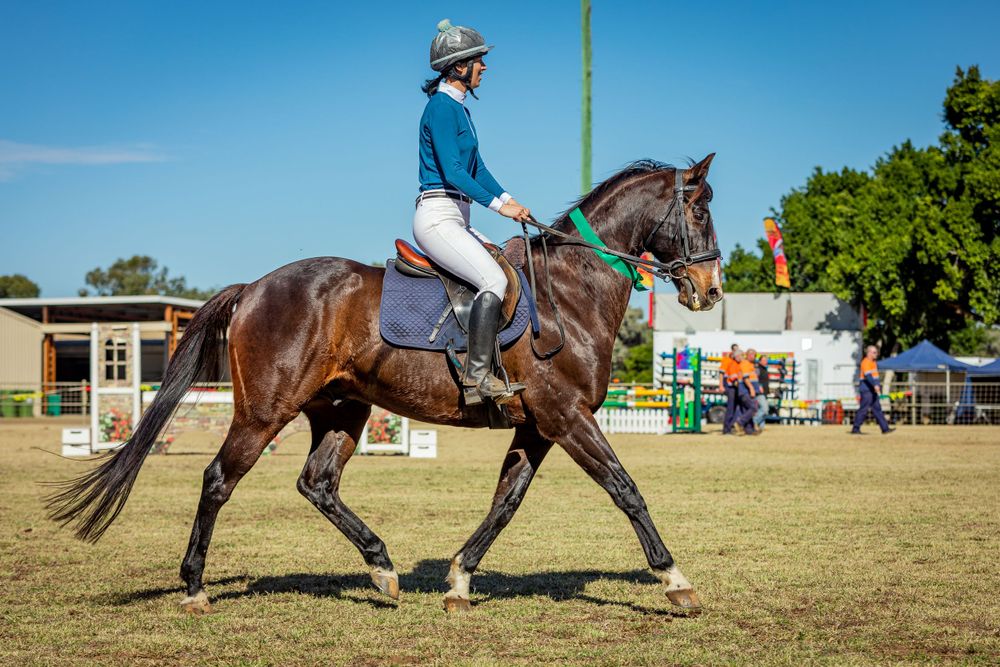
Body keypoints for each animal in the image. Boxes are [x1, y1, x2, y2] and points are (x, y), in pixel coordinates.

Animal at [47, 155, 724, 614]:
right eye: (699, 209)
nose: (711, 289)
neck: (572, 291)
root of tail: (254, 287)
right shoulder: (567, 417)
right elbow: (625, 489)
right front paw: (675, 580)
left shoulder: (539, 425)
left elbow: (506, 502)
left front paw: (459, 579)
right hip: (264, 412)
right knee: (218, 480)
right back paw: (193, 588)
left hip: (341, 410)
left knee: (317, 483)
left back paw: (381, 568)